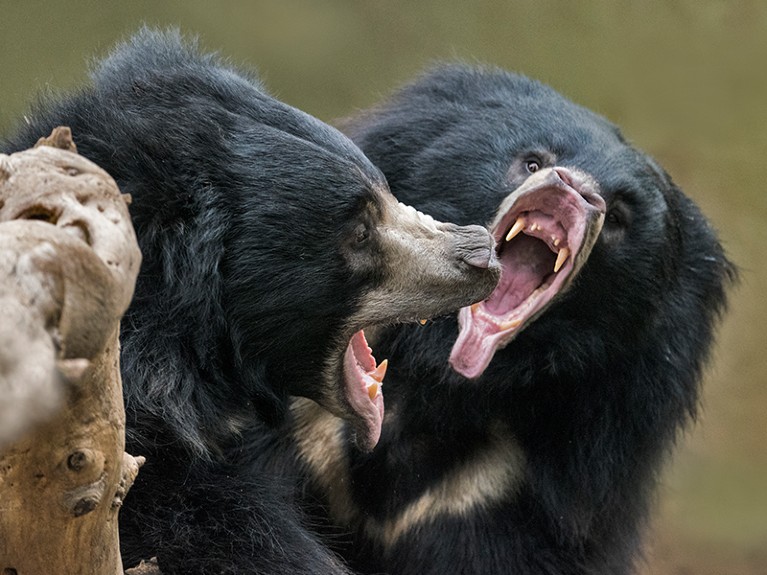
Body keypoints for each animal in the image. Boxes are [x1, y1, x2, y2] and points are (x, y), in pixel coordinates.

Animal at [292, 65, 736, 572]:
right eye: (532, 163)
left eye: (620, 214)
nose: (571, 189)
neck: (440, 379)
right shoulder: (309, 429)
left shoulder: (502, 492)